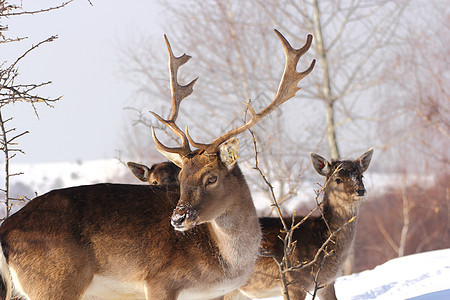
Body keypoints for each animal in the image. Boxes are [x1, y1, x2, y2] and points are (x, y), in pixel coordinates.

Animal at [0, 28, 314, 300]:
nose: (178, 218)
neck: (228, 261)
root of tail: (5, 231)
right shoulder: (160, 280)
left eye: (211, 177)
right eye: (184, 177)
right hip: (56, 281)